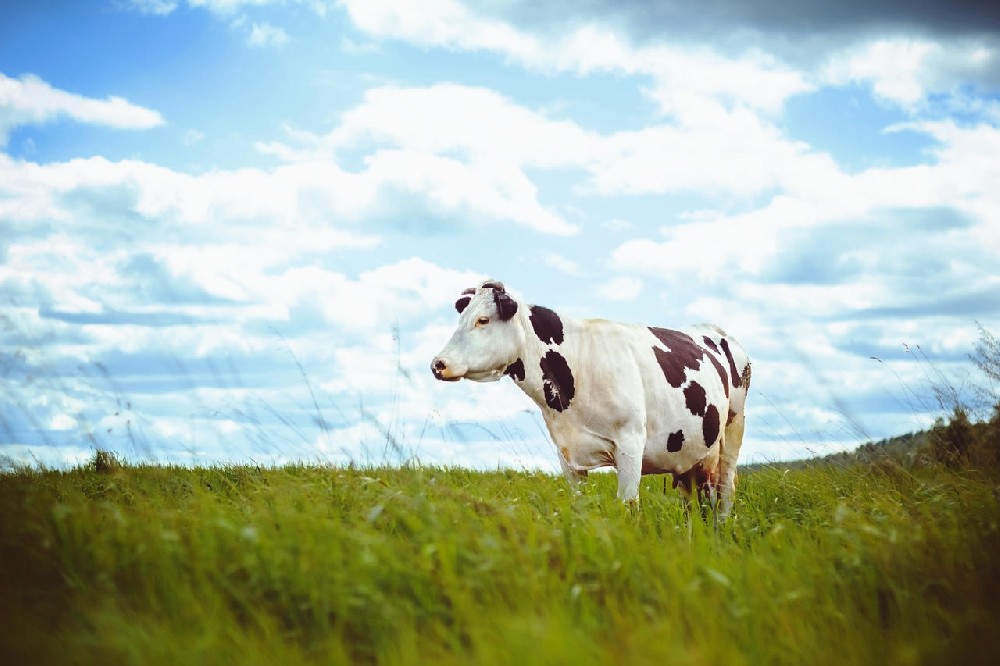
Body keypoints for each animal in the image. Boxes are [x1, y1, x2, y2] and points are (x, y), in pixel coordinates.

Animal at [430, 278, 752, 516]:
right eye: (461, 319)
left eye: (483, 320)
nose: (438, 364)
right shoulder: (567, 455)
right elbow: (580, 507)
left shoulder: (631, 442)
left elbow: (628, 507)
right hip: (691, 455)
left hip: (732, 432)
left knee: (724, 495)